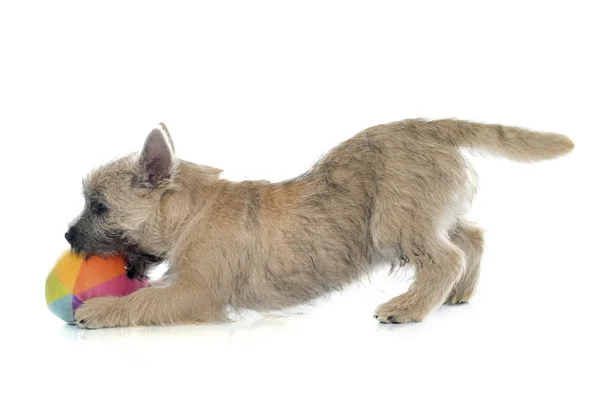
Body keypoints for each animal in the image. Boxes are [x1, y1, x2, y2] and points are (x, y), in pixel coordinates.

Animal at [64, 119, 572, 330]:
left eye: (99, 206)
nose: (67, 236)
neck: (193, 212)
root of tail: (430, 126)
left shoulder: (194, 293)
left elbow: (144, 301)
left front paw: (101, 310)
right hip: (427, 213)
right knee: (471, 237)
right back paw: (458, 293)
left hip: (394, 223)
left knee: (445, 257)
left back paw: (408, 307)